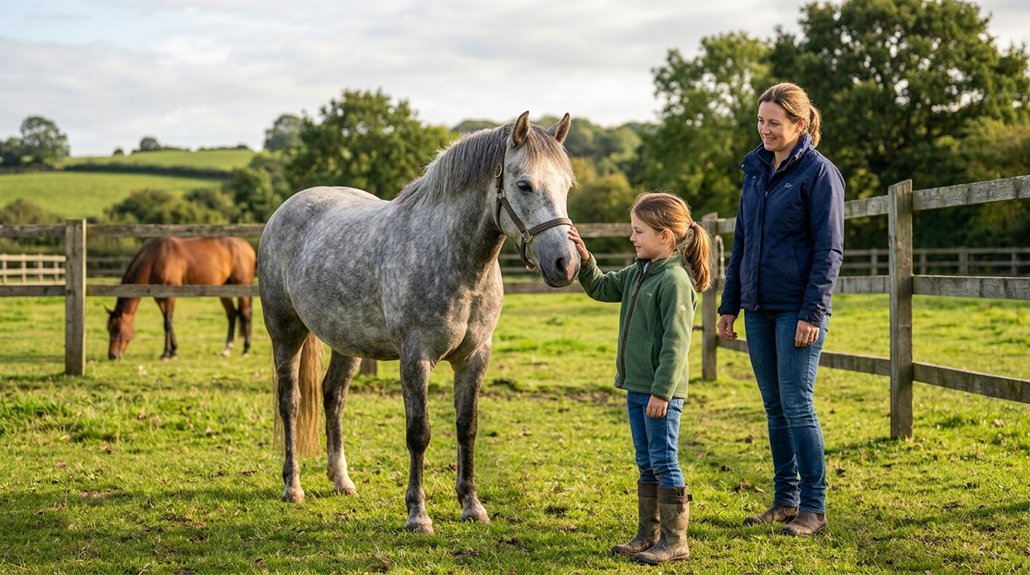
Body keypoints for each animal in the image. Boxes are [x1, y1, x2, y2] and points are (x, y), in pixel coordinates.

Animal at [106, 236, 256, 360]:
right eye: (109, 329)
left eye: (117, 329)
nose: (112, 356)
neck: (156, 259)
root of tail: (247, 246)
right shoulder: (159, 298)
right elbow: (167, 321)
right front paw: (173, 351)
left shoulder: (170, 296)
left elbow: (167, 323)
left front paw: (166, 354)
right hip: (224, 289)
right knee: (232, 314)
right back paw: (227, 349)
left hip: (241, 285)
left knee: (245, 314)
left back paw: (246, 349)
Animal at [258, 111, 579, 534]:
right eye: (524, 185)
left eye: (566, 186)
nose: (566, 264)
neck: (458, 263)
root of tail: (288, 208)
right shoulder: (416, 357)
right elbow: (419, 433)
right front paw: (417, 514)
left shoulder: (475, 357)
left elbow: (467, 428)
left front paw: (472, 506)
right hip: (285, 332)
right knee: (290, 402)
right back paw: (292, 487)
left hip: (347, 343)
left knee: (333, 396)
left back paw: (341, 480)